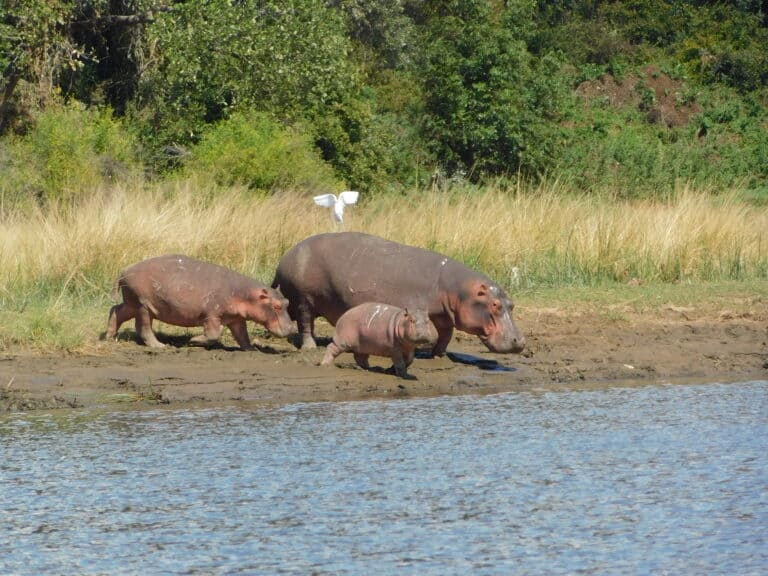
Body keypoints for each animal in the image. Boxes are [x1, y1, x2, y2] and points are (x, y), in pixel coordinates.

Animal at [106, 254, 295, 349]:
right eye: (276, 306)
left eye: (287, 301)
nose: (291, 329)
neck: (246, 294)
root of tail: (124, 270)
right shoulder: (212, 315)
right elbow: (214, 333)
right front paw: (193, 341)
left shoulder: (236, 318)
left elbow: (242, 335)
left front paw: (251, 349)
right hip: (143, 305)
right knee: (143, 327)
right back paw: (160, 346)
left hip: (132, 302)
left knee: (116, 310)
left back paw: (109, 337)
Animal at [272, 232, 525, 356]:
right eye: (495, 305)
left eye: (511, 303)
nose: (520, 341)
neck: (456, 290)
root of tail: (286, 256)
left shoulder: (444, 315)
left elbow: (446, 334)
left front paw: (439, 354)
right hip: (304, 299)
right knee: (306, 323)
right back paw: (310, 346)